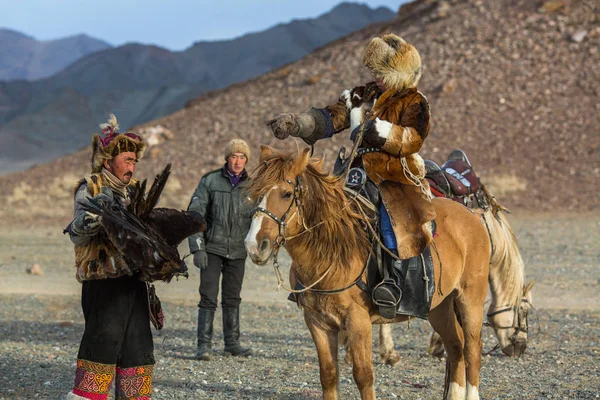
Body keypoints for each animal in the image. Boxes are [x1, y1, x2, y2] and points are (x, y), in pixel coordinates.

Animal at [246, 147, 490, 400]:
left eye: (286, 194)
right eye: (255, 193)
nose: (254, 246)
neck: (333, 253)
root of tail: (472, 215)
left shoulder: (358, 321)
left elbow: (363, 376)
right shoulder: (317, 322)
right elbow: (328, 374)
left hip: (470, 299)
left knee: (472, 349)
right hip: (439, 306)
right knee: (455, 347)